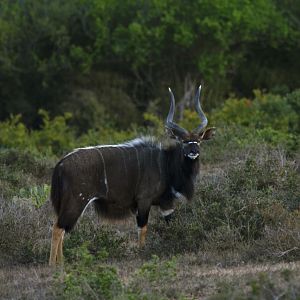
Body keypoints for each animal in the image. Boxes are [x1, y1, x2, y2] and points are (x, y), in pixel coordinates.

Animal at [49, 85, 214, 264]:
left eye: (198, 141)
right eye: (183, 141)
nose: (193, 152)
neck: (166, 163)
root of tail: (60, 164)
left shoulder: (166, 203)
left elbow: (171, 223)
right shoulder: (144, 200)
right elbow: (142, 229)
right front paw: (142, 253)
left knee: (61, 229)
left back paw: (61, 263)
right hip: (76, 202)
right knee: (58, 228)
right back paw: (54, 265)